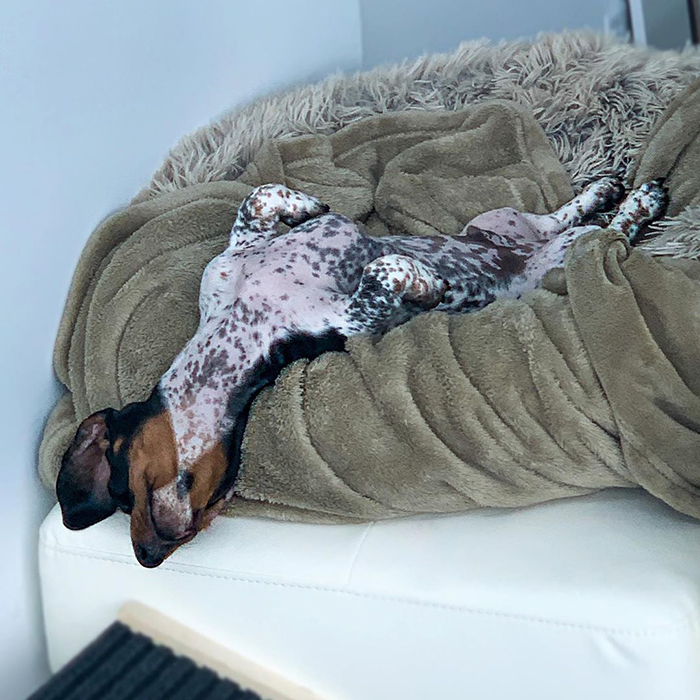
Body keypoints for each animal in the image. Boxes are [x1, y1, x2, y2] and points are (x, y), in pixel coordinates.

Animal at [56, 177, 668, 567]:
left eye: (121, 488)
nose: (146, 558)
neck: (234, 330)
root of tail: (518, 252)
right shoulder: (354, 317)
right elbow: (384, 267)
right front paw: (430, 284)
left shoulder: (240, 264)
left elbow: (261, 196)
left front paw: (309, 206)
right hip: (547, 249)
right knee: (595, 232)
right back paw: (629, 197)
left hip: (504, 224)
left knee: (567, 220)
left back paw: (617, 191)